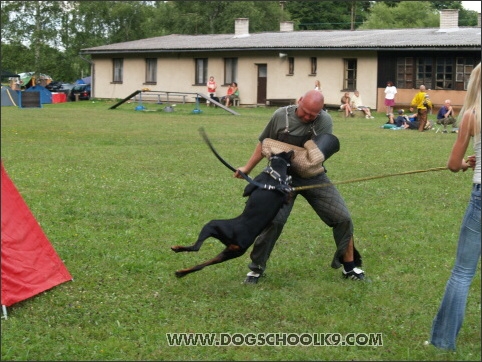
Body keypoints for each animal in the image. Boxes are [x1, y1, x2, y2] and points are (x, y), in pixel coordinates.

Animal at [171, 150, 296, 278]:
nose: (292, 150)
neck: (277, 175)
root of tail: (238, 243)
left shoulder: (249, 188)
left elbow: (246, 191)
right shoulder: (286, 197)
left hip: (212, 225)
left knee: (196, 247)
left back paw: (177, 249)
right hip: (228, 254)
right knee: (201, 265)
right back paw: (181, 272)